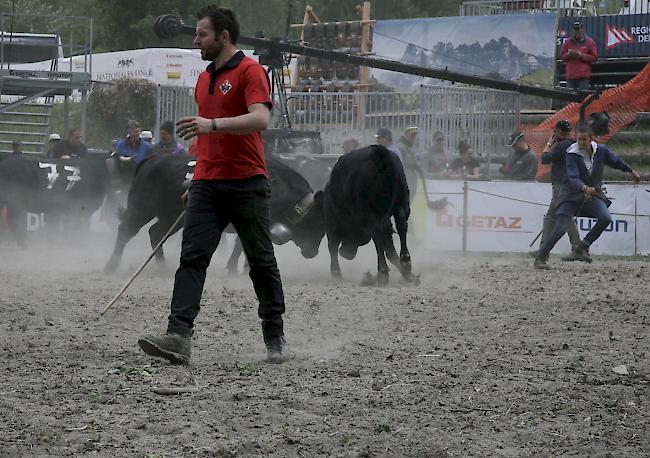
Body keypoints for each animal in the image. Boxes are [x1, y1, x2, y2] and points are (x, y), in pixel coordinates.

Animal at [103, 156, 322, 274]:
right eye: (315, 223)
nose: (313, 252)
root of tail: (152, 160)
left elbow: (240, 247)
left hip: (170, 217)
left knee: (155, 233)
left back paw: (163, 266)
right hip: (142, 208)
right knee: (127, 230)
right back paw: (111, 265)